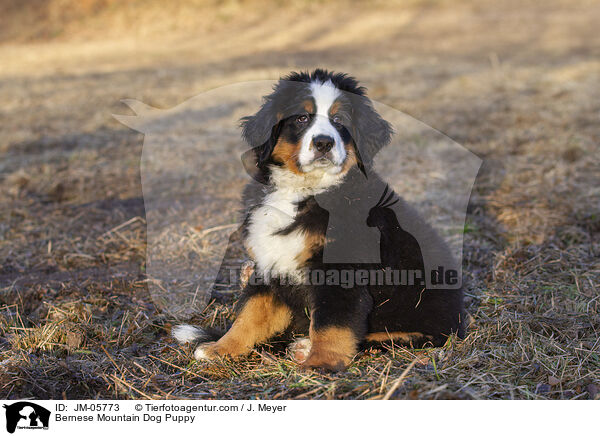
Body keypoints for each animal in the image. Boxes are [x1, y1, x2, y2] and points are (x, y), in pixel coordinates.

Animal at [173, 69, 464, 372]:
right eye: (302, 118)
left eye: (340, 120)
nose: (324, 143)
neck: (304, 189)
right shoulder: (268, 265)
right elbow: (249, 314)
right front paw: (221, 348)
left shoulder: (339, 272)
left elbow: (331, 324)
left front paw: (319, 364)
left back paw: (305, 347)